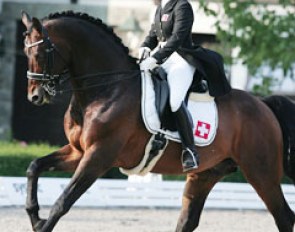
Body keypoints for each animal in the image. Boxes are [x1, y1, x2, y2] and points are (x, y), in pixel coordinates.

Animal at [21, 10, 295, 232]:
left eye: (41, 52)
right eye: (25, 51)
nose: (35, 96)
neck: (109, 87)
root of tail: (263, 105)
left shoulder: (99, 155)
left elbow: (63, 201)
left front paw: (42, 223)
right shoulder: (79, 151)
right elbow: (35, 166)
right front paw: (34, 216)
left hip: (261, 171)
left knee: (284, 216)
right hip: (206, 173)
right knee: (188, 220)